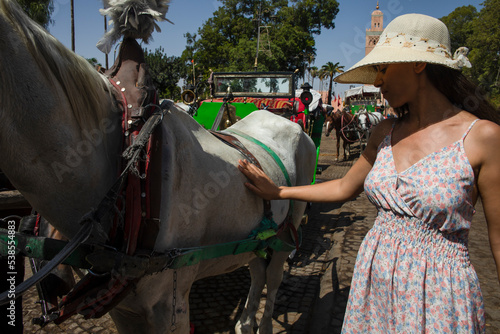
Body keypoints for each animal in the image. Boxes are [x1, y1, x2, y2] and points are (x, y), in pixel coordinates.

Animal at [0, 1, 314, 332]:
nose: (54, 285)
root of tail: (280, 118)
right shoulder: (122, 308)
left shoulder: (170, 301)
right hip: (256, 237)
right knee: (257, 270)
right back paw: (245, 322)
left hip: (288, 231)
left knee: (273, 277)